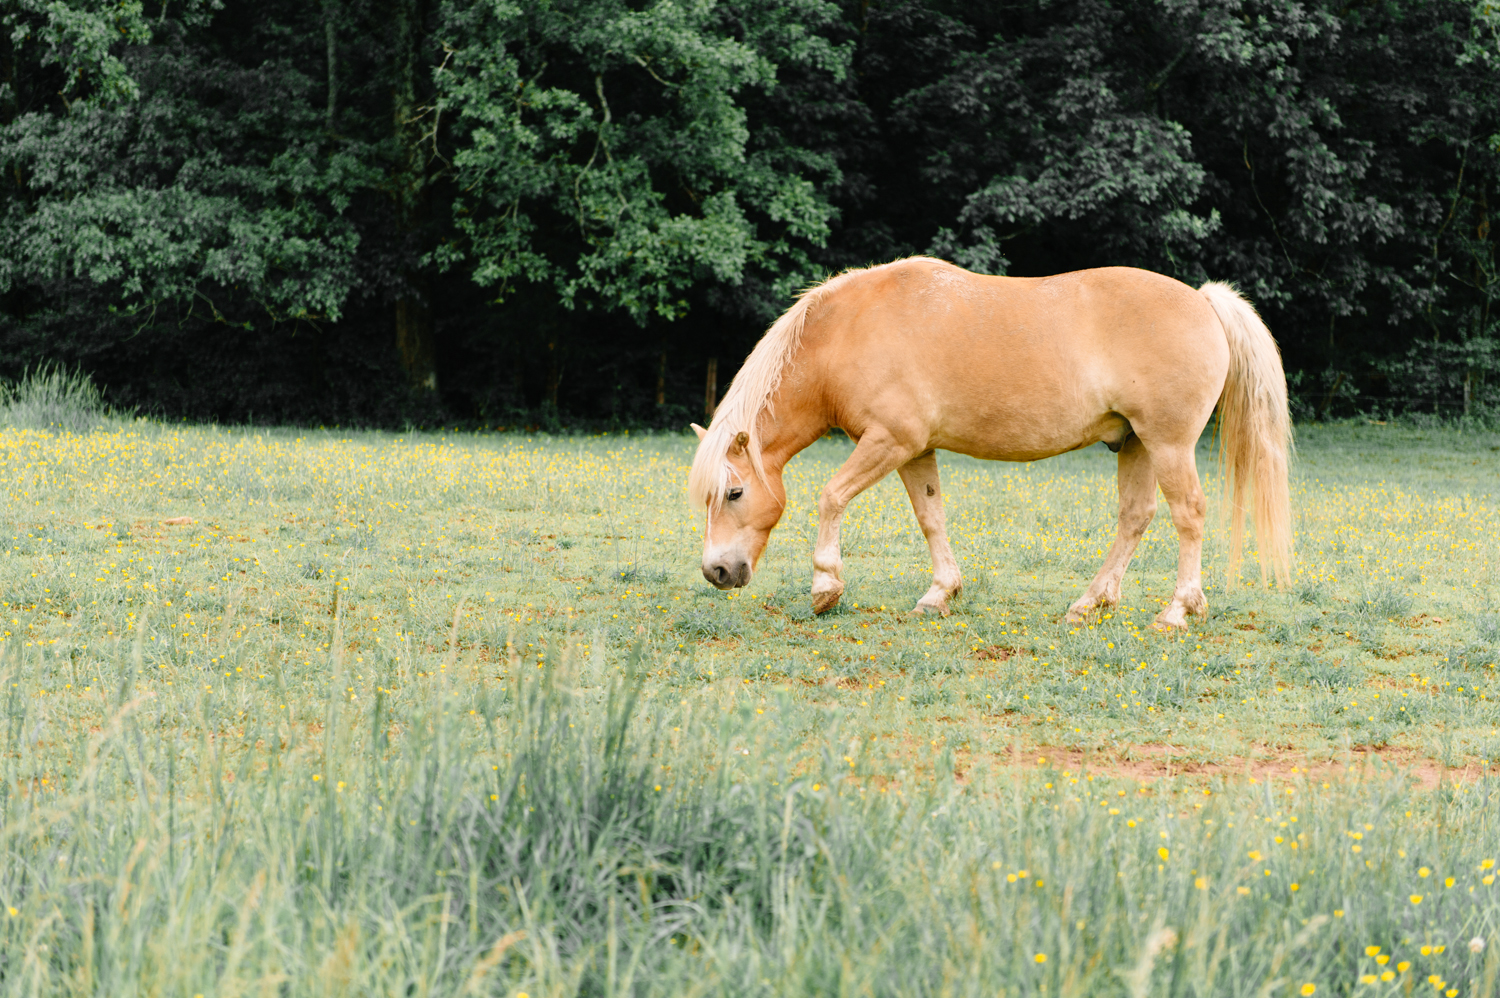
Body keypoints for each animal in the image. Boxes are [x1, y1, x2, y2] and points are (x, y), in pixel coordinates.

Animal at [687, 256, 1290, 630]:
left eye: (735, 493)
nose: (717, 572)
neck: (847, 331)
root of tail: (1204, 301)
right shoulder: (914, 450)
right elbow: (931, 517)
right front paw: (940, 594)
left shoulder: (889, 442)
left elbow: (832, 496)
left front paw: (825, 587)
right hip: (1137, 445)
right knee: (1135, 517)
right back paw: (1089, 604)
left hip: (1168, 444)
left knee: (1188, 515)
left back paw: (1176, 611)